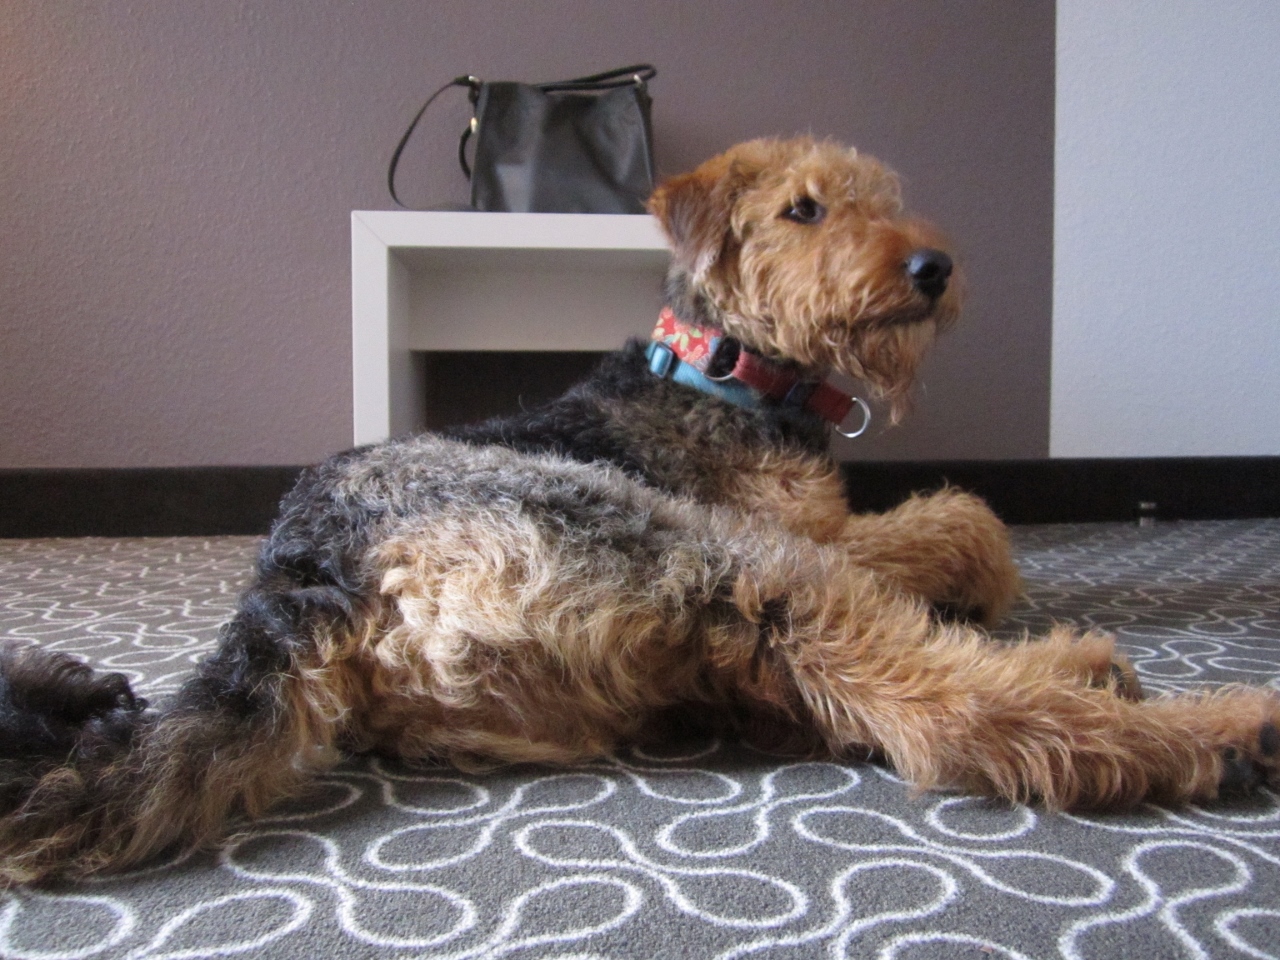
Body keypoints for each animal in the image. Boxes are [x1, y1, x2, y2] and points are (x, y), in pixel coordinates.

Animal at [1, 137, 1277, 885]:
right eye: (804, 209)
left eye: (879, 203)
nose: (931, 270)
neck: (720, 369)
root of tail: (306, 576)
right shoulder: (799, 533)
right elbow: (965, 521)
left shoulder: (813, 528)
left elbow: (950, 528)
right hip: (706, 556)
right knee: (945, 708)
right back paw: (1208, 725)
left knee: (824, 695)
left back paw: (1094, 670)